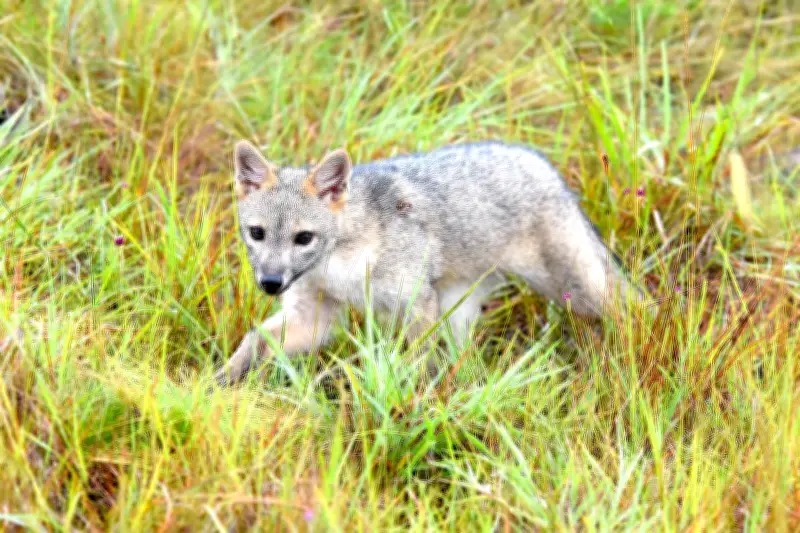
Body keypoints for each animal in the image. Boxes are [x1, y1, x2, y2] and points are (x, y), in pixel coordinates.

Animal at [213, 140, 640, 386]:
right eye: (256, 233)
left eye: (303, 238)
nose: (270, 283)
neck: (339, 261)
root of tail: (542, 162)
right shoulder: (312, 317)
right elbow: (254, 339)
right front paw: (218, 383)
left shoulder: (416, 306)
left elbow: (413, 363)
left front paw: (408, 401)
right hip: (457, 311)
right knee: (461, 362)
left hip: (582, 293)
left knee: (633, 311)